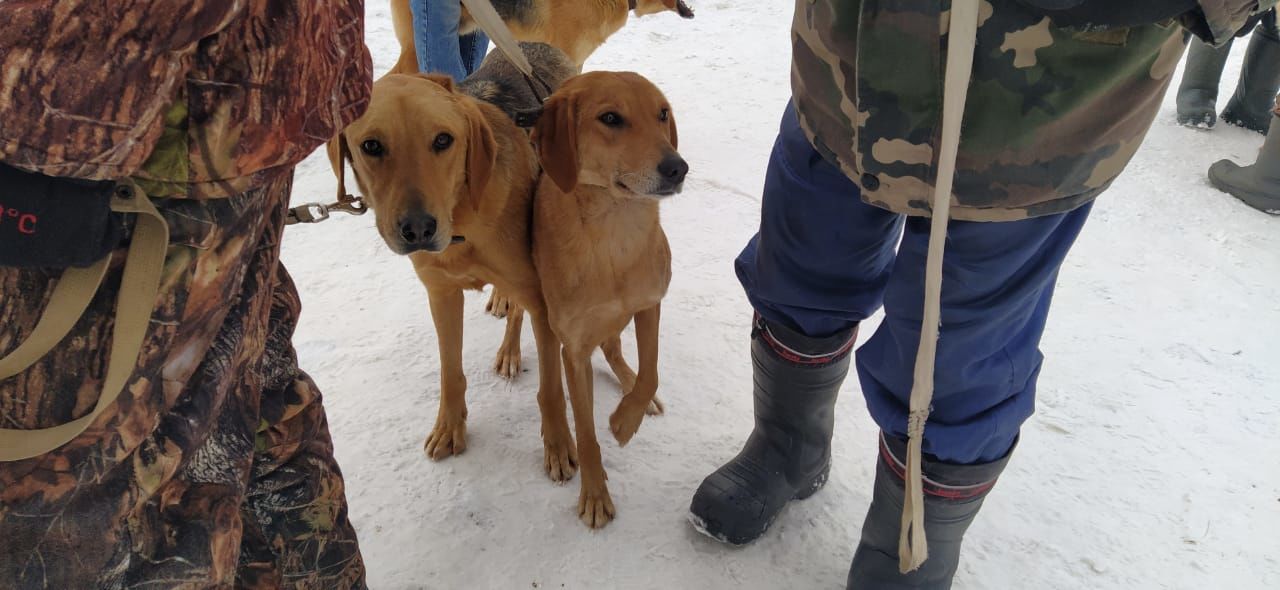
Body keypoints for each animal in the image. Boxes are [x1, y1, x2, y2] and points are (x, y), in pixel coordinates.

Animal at [340, 72, 581, 478]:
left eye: (443, 140)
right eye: (371, 145)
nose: (418, 229)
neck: (463, 221)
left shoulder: (539, 296)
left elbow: (551, 389)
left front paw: (559, 445)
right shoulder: (441, 295)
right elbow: (450, 372)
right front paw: (449, 428)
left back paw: (510, 350)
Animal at [529, 71, 691, 527]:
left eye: (662, 113)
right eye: (611, 118)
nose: (677, 167)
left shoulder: (650, 304)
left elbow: (651, 371)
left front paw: (624, 420)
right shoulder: (574, 350)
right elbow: (585, 435)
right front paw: (595, 494)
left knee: (616, 350)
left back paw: (630, 386)